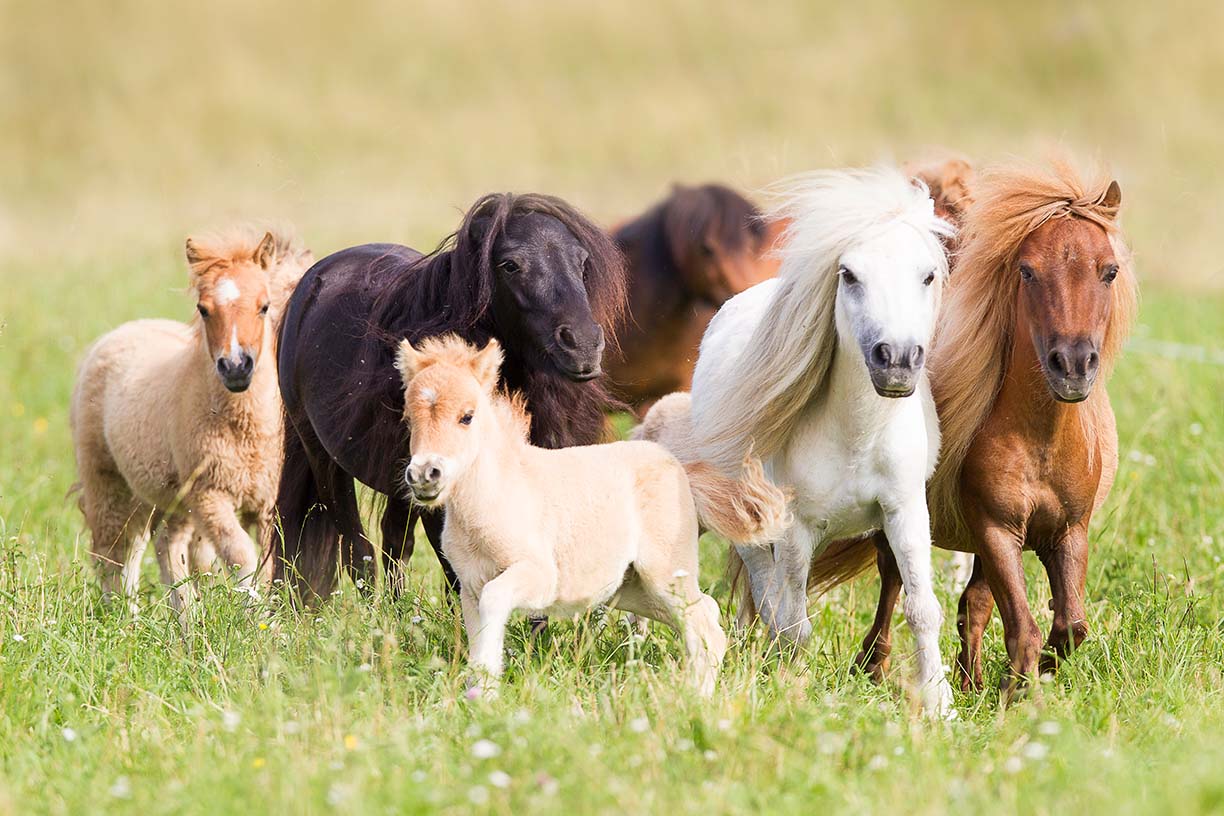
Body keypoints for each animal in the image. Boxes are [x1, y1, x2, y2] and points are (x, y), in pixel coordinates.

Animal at [71, 226, 312, 613]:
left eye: (263, 306)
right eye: (203, 309)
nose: (235, 367)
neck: (246, 431)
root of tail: (119, 333)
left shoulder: (266, 504)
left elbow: (267, 565)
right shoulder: (209, 496)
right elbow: (241, 557)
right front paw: (259, 618)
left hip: (160, 498)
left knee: (160, 546)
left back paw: (182, 617)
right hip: (108, 482)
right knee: (115, 552)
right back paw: (124, 617)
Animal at [271, 193, 627, 598]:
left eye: (582, 262)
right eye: (510, 265)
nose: (582, 345)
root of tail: (314, 282)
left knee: (395, 543)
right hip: (324, 458)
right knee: (357, 550)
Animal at [393, 336, 789, 696]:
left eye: (467, 416)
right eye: (409, 420)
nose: (425, 474)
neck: (493, 499)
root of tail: (682, 470)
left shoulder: (539, 577)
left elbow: (496, 601)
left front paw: (487, 693)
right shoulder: (470, 588)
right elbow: (479, 637)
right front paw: (480, 696)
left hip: (664, 573)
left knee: (703, 622)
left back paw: (696, 698)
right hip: (631, 589)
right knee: (704, 616)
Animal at [638, 167, 957, 717]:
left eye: (928, 276)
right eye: (849, 275)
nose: (895, 360)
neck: (855, 437)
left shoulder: (905, 511)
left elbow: (922, 609)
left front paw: (940, 705)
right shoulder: (794, 528)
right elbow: (793, 622)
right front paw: (795, 689)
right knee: (771, 599)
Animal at [837, 160, 1137, 699]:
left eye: (1109, 271)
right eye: (1027, 270)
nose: (1073, 366)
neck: (1042, 440)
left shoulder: (1068, 533)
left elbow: (1070, 626)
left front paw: (1019, 679)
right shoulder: (996, 531)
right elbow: (1024, 628)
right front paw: (1018, 690)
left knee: (971, 605)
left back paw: (970, 678)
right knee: (894, 580)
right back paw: (873, 665)